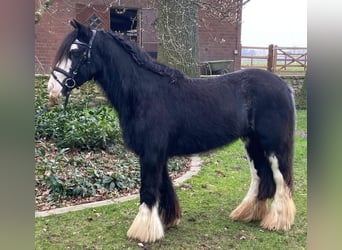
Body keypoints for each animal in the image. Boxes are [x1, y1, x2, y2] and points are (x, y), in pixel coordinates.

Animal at [48, 20, 296, 243]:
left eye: (75, 52)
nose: (52, 90)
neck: (144, 93)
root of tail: (284, 86)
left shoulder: (151, 153)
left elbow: (148, 189)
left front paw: (143, 231)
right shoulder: (157, 153)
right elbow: (163, 186)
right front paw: (166, 220)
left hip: (273, 145)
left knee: (281, 178)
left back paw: (278, 221)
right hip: (252, 143)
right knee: (260, 176)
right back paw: (248, 213)